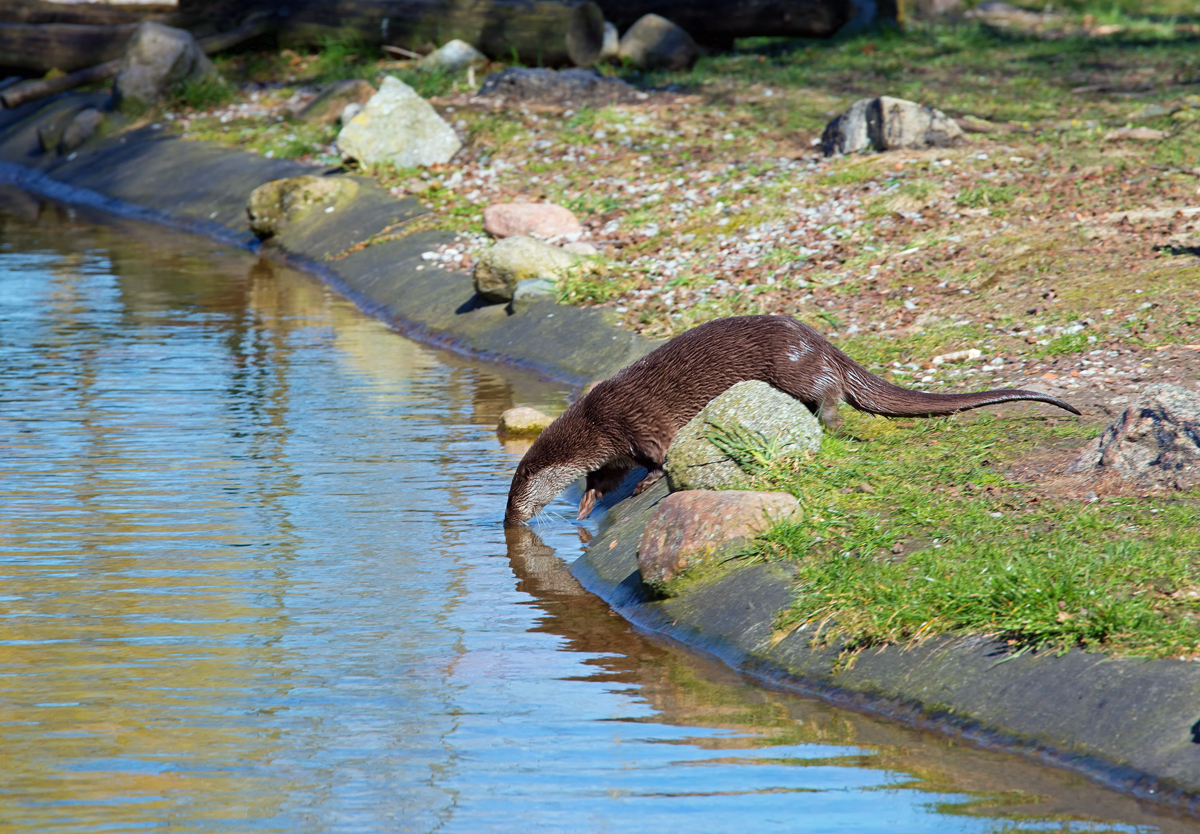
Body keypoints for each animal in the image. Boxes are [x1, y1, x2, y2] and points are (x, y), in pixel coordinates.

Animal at [501, 316, 1084, 525]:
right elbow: (605, 476)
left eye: (513, 496)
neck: (592, 424)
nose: (508, 522)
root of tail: (823, 342)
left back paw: (830, 420)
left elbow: (660, 456)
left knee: (829, 393)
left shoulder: (632, 423)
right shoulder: (613, 445)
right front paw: (587, 504)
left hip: (792, 366)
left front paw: (649, 485)